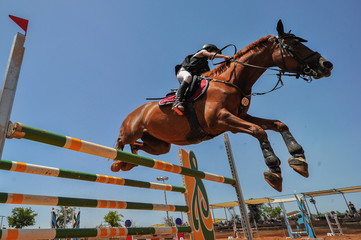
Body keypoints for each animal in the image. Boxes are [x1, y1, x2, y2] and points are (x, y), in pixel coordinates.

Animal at [110, 21, 332, 193]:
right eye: (292, 44)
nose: (326, 65)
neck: (233, 80)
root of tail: (134, 113)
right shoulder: (221, 120)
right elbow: (259, 131)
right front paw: (274, 171)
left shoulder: (240, 117)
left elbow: (278, 124)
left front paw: (299, 159)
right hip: (132, 130)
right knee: (120, 141)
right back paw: (117, 162)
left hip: (160, 145)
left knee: (139, 146)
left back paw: (128, 162)